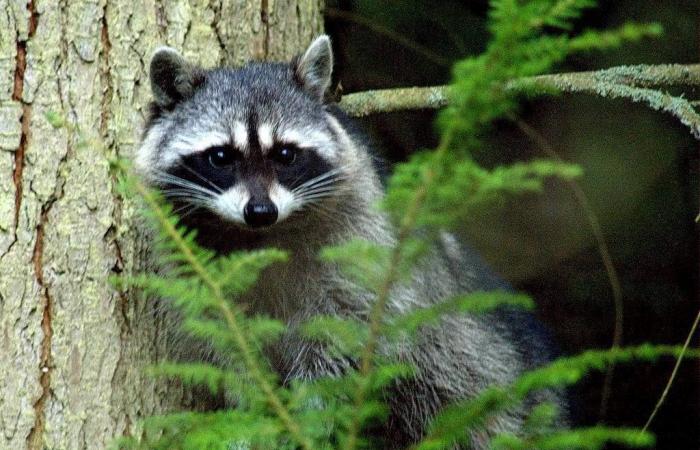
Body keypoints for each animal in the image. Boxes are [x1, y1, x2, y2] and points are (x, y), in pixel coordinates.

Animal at [137, 36, 568, 450]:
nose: (260, 211)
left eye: (285, 154)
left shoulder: (360, 253)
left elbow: (342, 344)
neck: (260, 238)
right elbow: (229, 352)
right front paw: (251, 418)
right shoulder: (197, 275)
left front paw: (310, 417)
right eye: (221, 156)